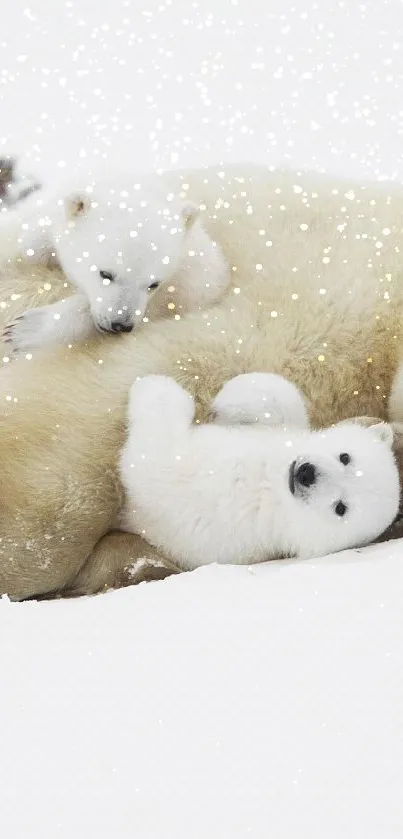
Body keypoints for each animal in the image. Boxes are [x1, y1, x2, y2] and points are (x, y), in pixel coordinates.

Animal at [0, 172, 230, 350]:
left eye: (154, 284)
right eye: (105, 273)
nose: (120, 325)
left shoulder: (197, 275)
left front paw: (22, 330)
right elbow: (32, 243)